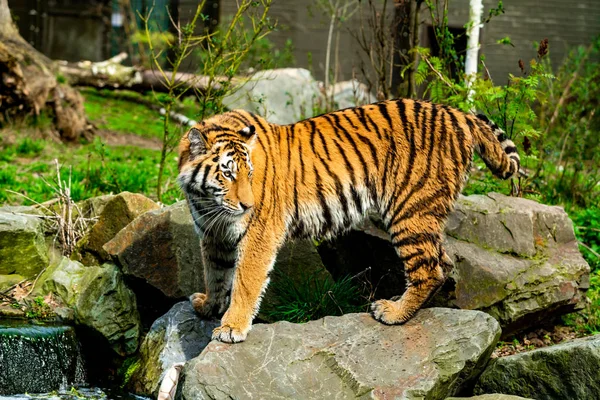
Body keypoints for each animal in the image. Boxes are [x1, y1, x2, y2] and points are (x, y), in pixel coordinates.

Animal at [177, 98, 520, 342]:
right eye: (228, 174)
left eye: (249, 174)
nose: (248, 205)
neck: (206, 200)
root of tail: (458, 113)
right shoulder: (212, 235)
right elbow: (215, 274)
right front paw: (208, 306)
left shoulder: (258, 234)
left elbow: (245, 282)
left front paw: (231, 327)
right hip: (420, 213)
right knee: (444, 262)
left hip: (409, 210)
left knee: (429, 268)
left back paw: (393, 312)